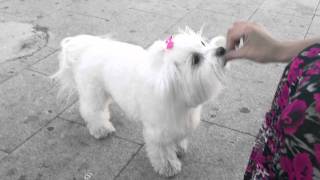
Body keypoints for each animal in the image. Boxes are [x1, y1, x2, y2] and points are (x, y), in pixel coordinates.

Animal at [52, 28, 226, 177]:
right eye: (195, 59)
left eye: (203, 43)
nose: (222, 50)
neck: (175, 89)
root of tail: (87, 47)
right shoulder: (159, 130)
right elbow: (163, 151)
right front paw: (168, 167)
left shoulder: (178, 123)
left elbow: (177, 137)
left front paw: (178, 148)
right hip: (94, 92)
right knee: (92, 111)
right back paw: (101, 129)